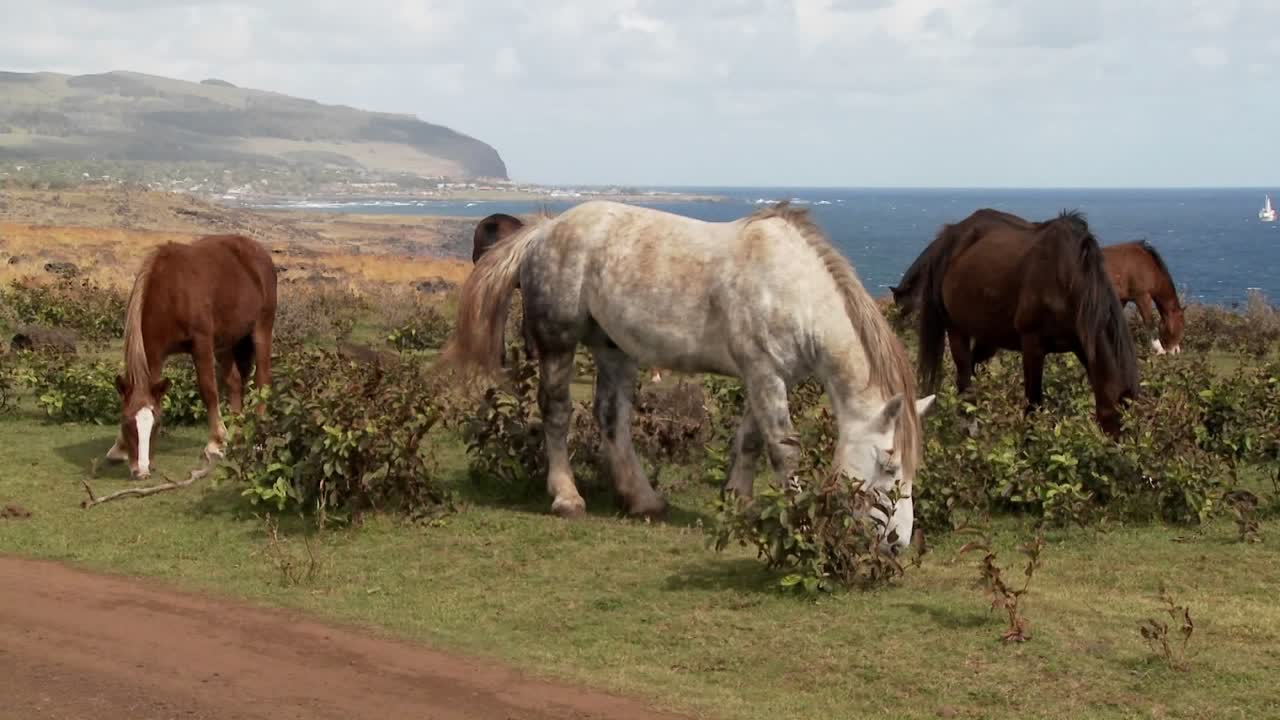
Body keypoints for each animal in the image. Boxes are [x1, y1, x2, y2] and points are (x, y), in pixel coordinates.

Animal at [106, 234, 278, 479]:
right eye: (126, 423)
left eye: (156, 425)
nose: (142, 470)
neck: (170, 293)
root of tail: (258, 254)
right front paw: (118, 447)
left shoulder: (201, 344)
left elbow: (208, 390)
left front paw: (215, 443)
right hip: (227, 342)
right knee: (235, 382)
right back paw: (236, 434)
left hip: (261, 329)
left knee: (262, 380)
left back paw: (257, 439)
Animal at [443, 200, 935, 551]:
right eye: (889, 464)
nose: (897, 544)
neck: (792, 289)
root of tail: (544, 230)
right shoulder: (765, 374)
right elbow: (783, 449)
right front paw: (799, 518)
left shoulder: (767, 376)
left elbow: (751, 440)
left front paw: (738, 503)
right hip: (559, 343)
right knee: (558, 412)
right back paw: (567, 497)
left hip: (614, 348)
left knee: (611, 417)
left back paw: (641, 499)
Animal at [908, 209, 1138, 436]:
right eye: (1118, 424)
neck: (1067, 282)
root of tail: (950, 234)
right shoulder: (1032, 345)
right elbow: (1033, 404)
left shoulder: (1081, 344)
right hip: (956, 330)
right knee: (964, 379)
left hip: (989, 336)